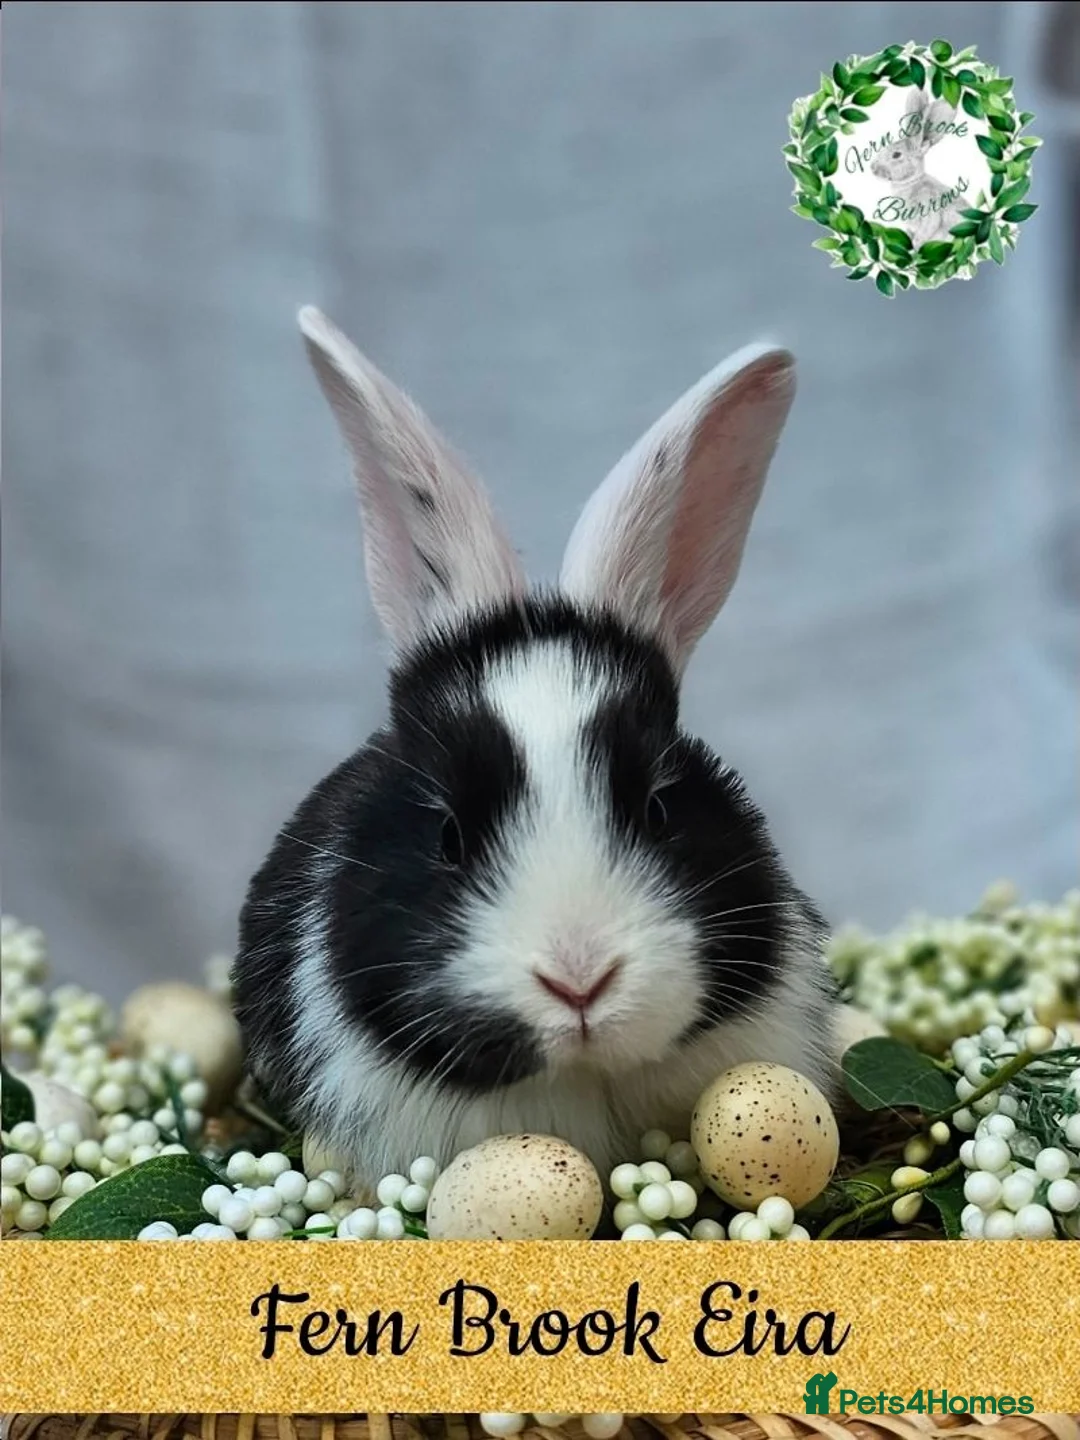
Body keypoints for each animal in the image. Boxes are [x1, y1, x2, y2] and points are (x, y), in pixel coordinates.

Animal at [871, 86, 970, 248]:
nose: (872, 168)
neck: (911, 182)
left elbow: (926, 231)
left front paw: (916, 248)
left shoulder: (929, 210)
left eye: (896, 155)